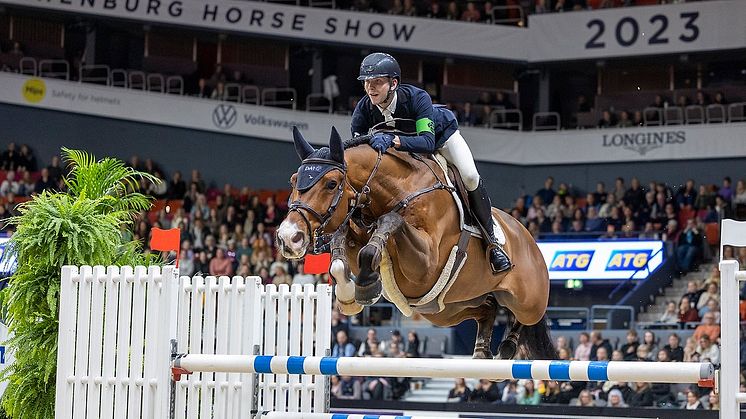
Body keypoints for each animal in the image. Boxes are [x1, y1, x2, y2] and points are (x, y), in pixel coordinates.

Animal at [276, 126, 548, 360]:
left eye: (331, 184)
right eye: (293, 181)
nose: (288, 237)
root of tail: (529, 239)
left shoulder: (426, 264)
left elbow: (391, 220)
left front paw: (366, 284)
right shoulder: (354, 233)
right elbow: (339, 257)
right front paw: (349, 296)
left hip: (527, 301)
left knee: (527, 317)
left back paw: (507, 346)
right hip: (445, 309)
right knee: (487, 308)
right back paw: (482, 350)